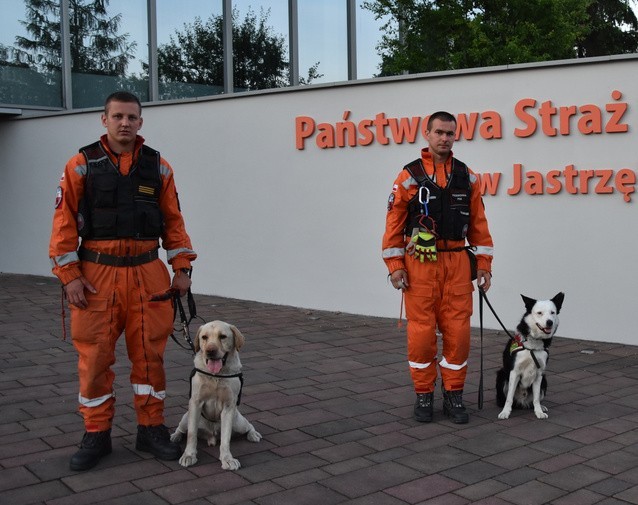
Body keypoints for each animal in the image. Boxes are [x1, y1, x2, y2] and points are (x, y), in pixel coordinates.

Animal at [170, 318, 262, 468]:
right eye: (204, 337)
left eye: (222, 336)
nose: (210, 351)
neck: (216, 376)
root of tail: (211, 436)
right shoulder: (195, 403)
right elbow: (191, 434)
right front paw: (189, 455)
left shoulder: (229, 406)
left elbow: (225, 438)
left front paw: (227, 459)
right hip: (185, 418)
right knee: (181, 429)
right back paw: (175, 436)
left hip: (238, 423)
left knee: (249, 426)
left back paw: (253, 434)